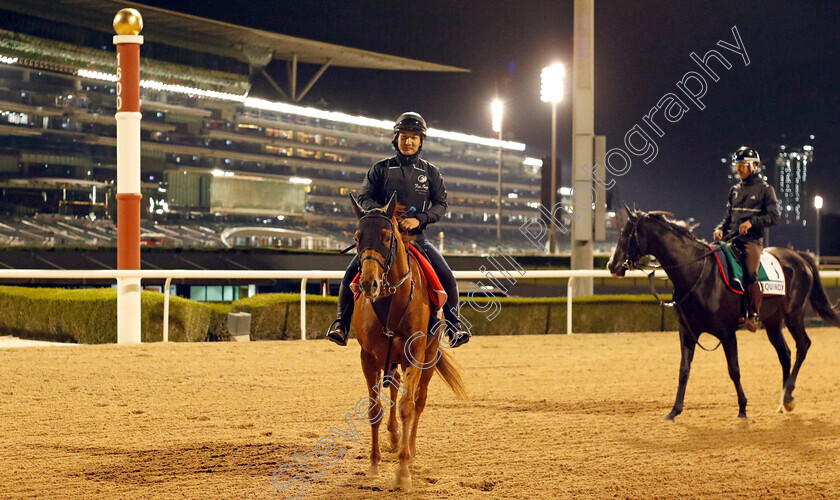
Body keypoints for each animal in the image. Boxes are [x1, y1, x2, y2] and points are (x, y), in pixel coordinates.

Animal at [348, 193, 466, 490]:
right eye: (357, 237)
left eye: (387, 236)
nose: (368, 284)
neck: (391, 302)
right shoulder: (368, 358)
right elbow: (375, 409)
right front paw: (374, 465)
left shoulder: (415, 354)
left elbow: (407, 407)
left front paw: (402, 471)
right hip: (391, 359)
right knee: (394, 387)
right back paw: (394, 438)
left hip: (429, 357)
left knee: (419, 401)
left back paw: (409, 451)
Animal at [612, 207, 840, 422]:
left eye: (626, 233)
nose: (612, 266)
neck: (698, 272)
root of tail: (799, 257)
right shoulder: (687, 331)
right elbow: (684, 371)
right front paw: (674, 411)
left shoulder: (727, 332)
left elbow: (734, 370)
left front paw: (742, 408)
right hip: (773, 321)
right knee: (785, 354)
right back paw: (784, 401)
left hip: (793, 314)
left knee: (803, 346)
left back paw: (789, 397)